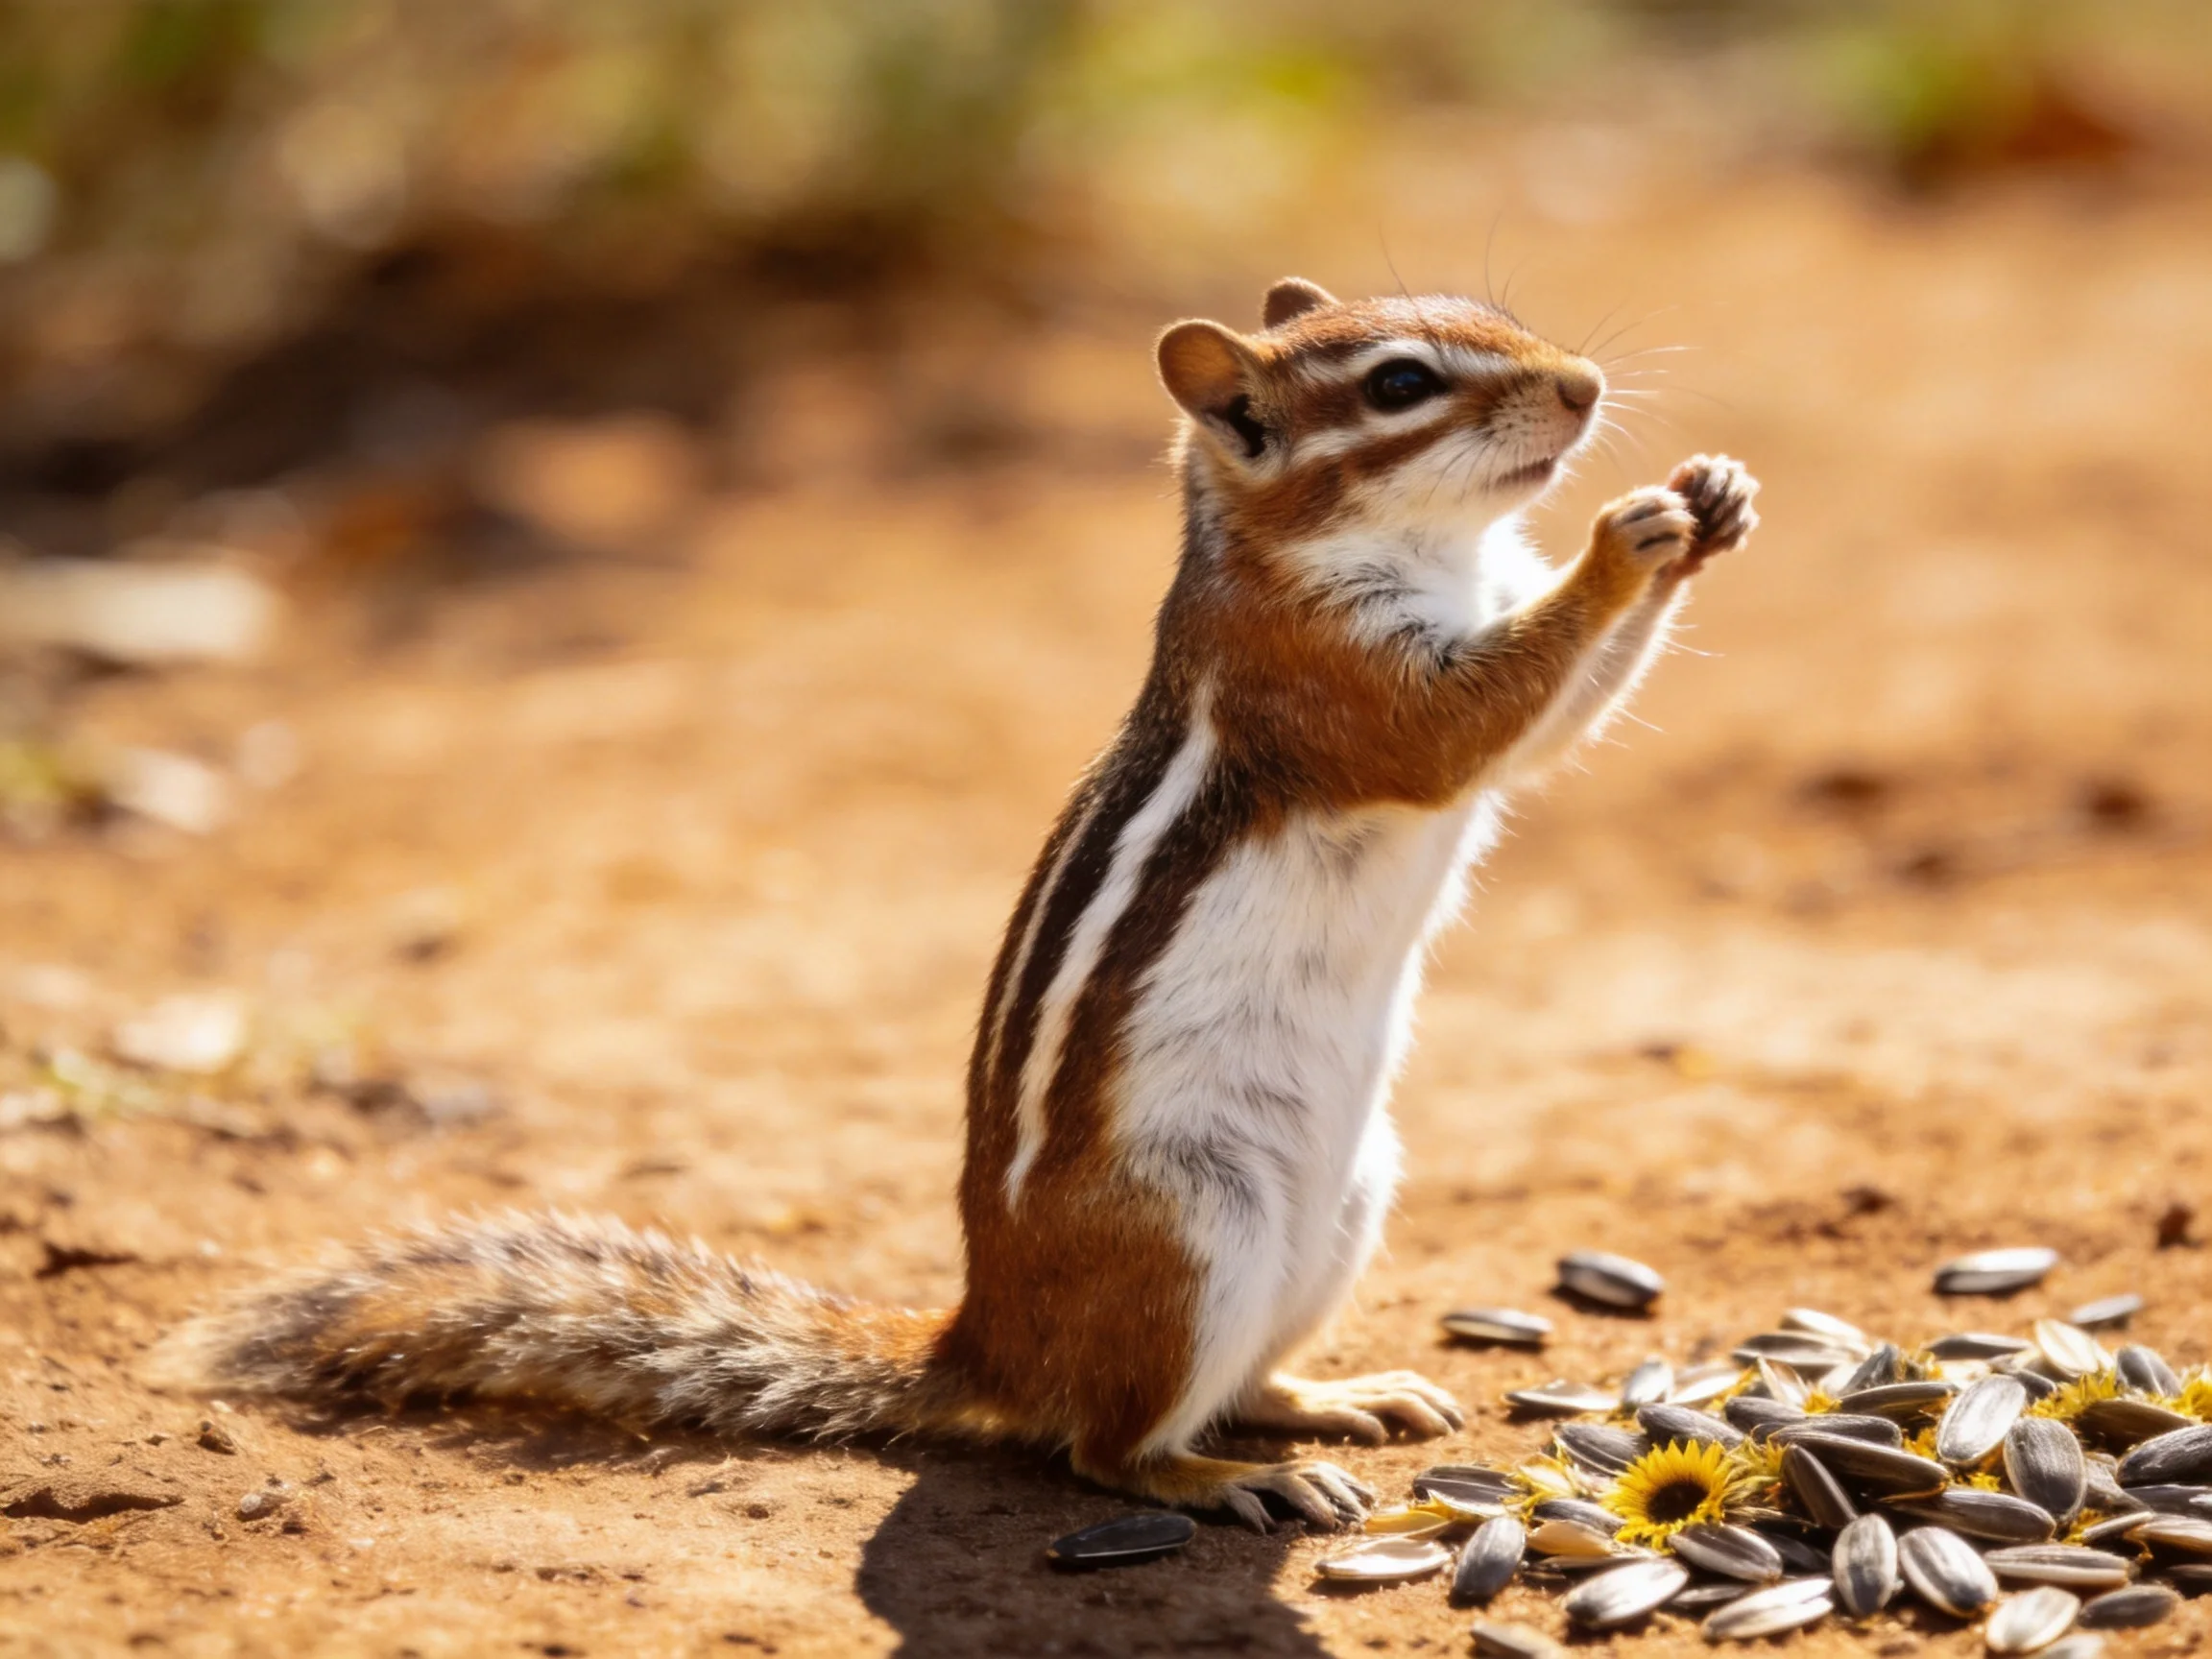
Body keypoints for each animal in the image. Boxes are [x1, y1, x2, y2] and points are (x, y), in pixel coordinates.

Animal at [158, 278, 1758, 1533]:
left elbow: (1549, 725)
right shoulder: (1337, 685)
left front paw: (1713, 502)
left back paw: (1333, 1396)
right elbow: (1480, 723)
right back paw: (1228, 1480)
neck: (1412, 548)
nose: (1586, 386)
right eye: (1402, 384)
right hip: (1191, 1239)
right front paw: (1627, 537)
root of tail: (988, 1339)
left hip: (1339, 1213)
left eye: (1490, 312)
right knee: (1106, 1447)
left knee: (1234, 1385)